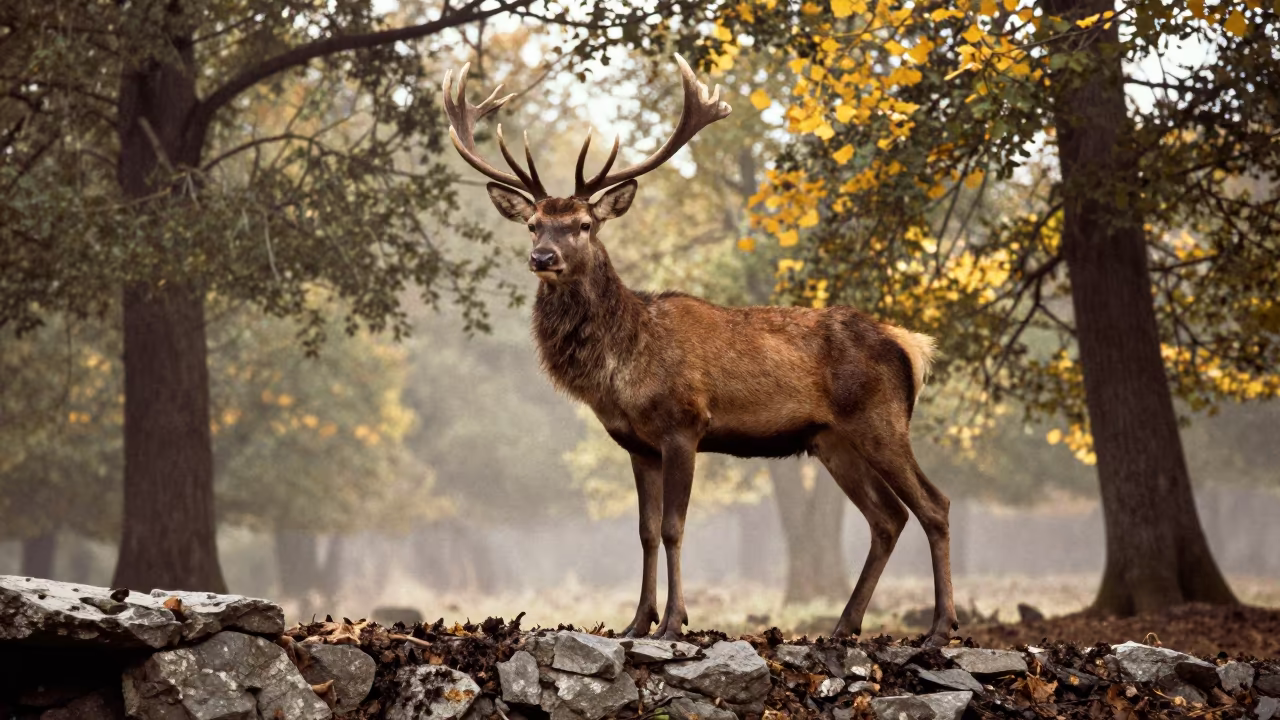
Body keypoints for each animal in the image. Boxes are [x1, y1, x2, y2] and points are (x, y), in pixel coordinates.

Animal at [441, 56, 958, 645]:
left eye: (584, 224)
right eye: (533, 224)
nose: (543, 257)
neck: (622, 367)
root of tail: (910, 345)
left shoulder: (683, 425)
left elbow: (673, 527)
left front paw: (673, 622)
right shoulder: (636, 444)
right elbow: (644, 531)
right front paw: (636, 621)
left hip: (882, 420)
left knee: (934, 505)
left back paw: (940, 628)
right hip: (832, 441)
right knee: (887, 518)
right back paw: (844, 625)